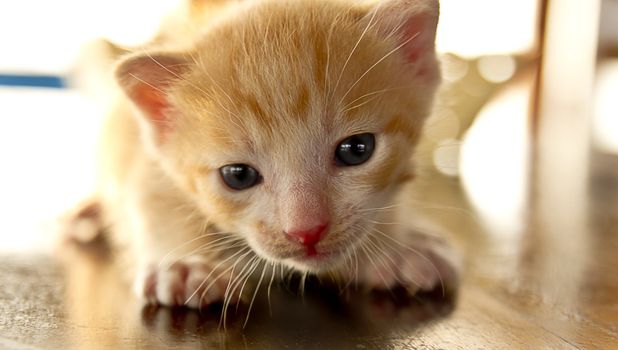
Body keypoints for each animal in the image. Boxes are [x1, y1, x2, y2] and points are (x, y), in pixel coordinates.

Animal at [66, 0, 458, 312]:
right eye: (238, 175)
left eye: (356, 149)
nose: (306, 232)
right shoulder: (137, 145)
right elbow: (150, 195)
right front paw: (184, 262)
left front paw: (397, 245)